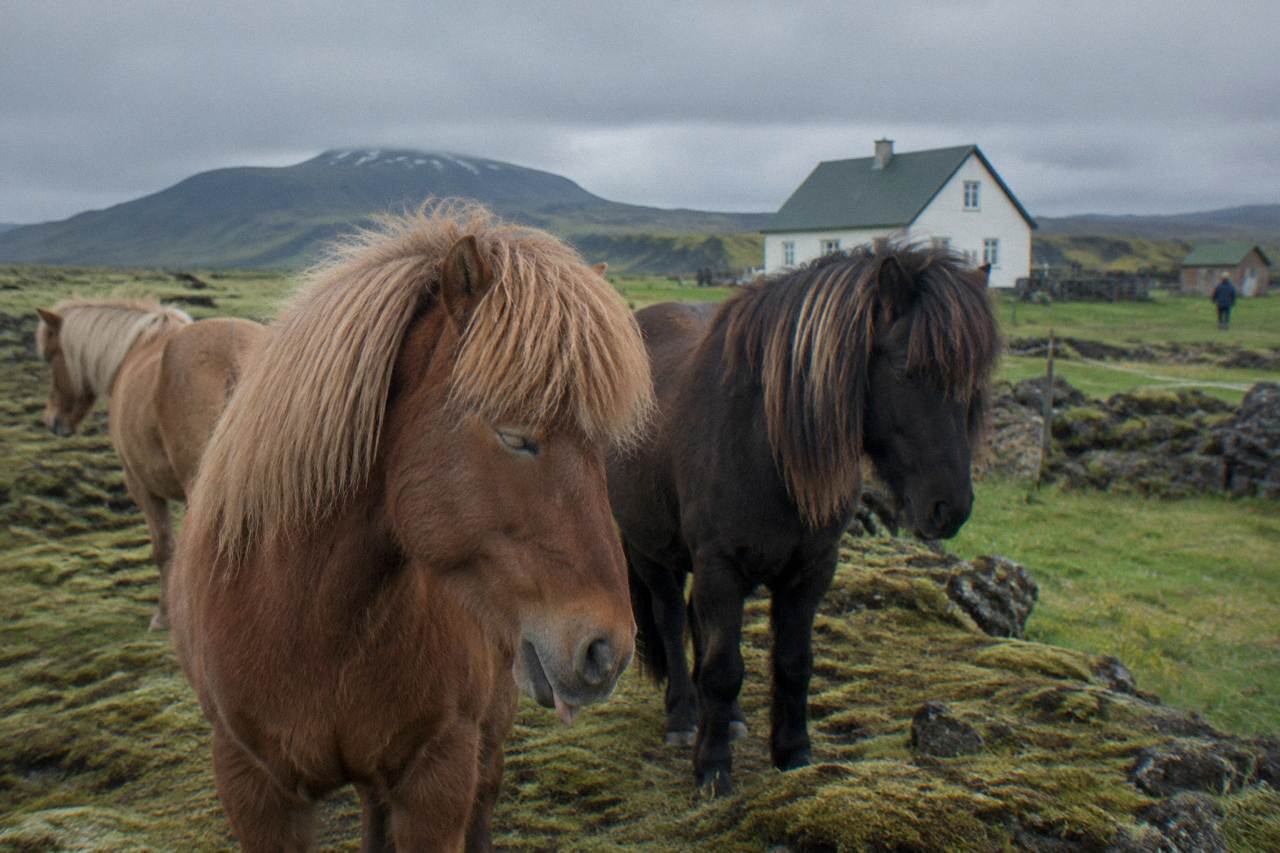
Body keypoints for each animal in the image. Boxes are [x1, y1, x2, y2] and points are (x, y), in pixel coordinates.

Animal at [607, 245, 999, 795]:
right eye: (906, 369)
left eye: (974, 382)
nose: (951, 508)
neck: (766, 441)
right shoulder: (720, 567)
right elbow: (723, 668)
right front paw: (712, 769)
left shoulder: (812, 569)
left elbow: (794, 662)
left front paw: (793, 753)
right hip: (651, 551)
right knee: (668, 619)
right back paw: (684, 716)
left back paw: (727, 719)